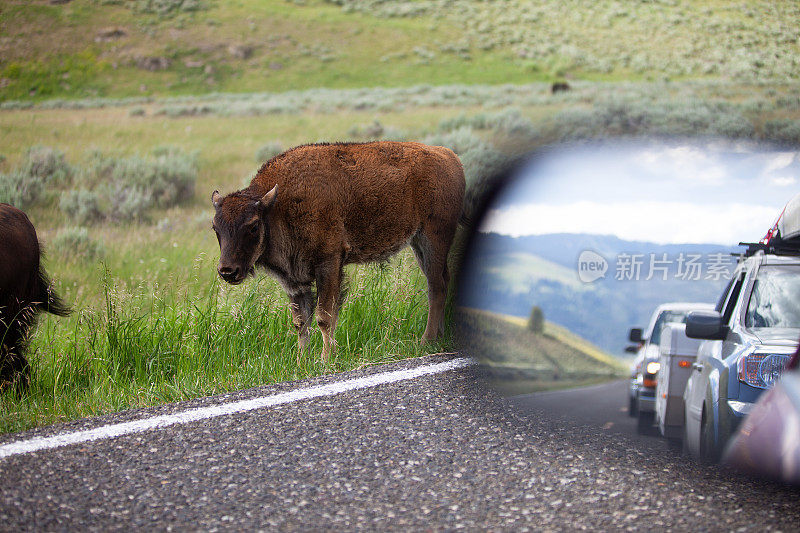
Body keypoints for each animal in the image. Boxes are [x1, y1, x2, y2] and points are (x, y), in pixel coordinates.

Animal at [209, 140, 466, 362]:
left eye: (253, 226)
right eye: (215, 228)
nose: (227, 271)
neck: (276, 207)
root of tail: (450, 156)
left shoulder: (329, 263)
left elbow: (324, 316)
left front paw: (326, 358)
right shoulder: (294, 280)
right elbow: (301, 322)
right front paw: (302, 361)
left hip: (434, 238)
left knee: (436, 287)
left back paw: (426, 340)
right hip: (418, 243)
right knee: (443, 281)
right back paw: (440, 335)